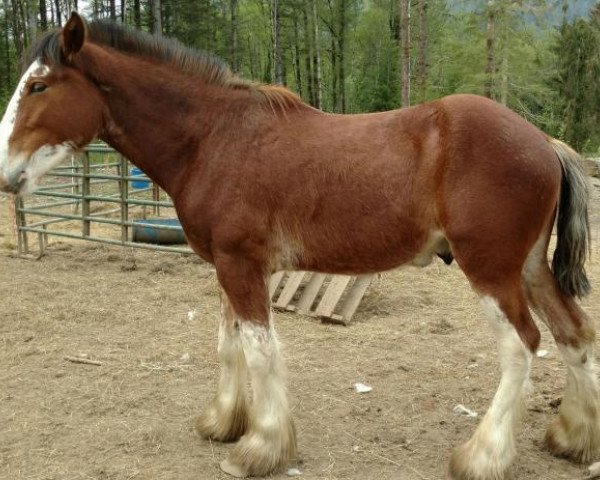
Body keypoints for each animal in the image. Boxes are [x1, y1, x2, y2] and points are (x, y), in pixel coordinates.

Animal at [1, 13, 600, 478]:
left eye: (39, 86)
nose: (7, 175)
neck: (213, 140)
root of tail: (543, 141)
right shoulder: (227, 267)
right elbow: (229, 345)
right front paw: (224, 423)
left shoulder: (242, 266)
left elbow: (261, 351)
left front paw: (259, 449)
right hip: (529, 269)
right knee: (574, 334)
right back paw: (575, 439)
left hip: (491, 271)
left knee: (522, 345)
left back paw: (481, 456)